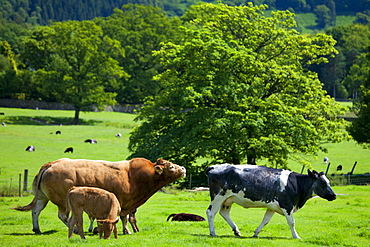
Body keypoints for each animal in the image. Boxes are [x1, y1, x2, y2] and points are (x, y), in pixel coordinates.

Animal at [207, 164, 336, 239]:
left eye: (328, 182)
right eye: (323, 183)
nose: (334, 196)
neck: (295, 184)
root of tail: (213, 167)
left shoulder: (272, 206)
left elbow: (266, 220)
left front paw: (256, 233)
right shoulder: (287, 205)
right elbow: (292, 222)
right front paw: (296, 236)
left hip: (228, 200)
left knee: (224, 213)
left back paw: (236, 231)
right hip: (218, 196)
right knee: (211, 212)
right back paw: (213, 232)